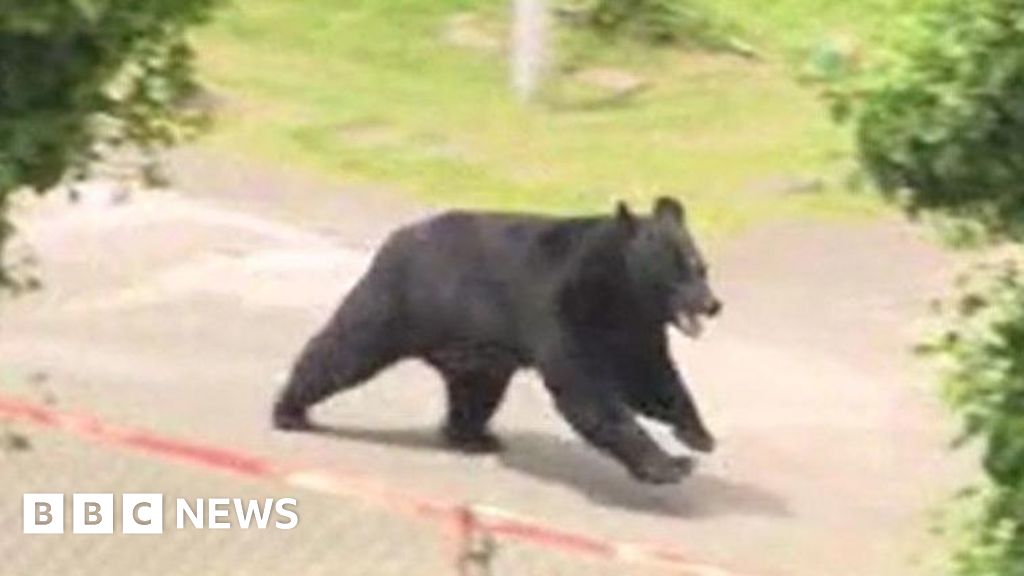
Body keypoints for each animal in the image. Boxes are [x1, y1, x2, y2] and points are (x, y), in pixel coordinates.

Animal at [273, 197, 722, 484]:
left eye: (701, 266)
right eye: (679, 269)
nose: (713, 304)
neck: (621, 290)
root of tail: (398, 236)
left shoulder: (635, 329)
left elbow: (651, 378)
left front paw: (698, 435)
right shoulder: (564, 308)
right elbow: (587, 390)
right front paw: (669, 466)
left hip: (475, 350)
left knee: (476, 393)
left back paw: (472, 437)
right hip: (398, 304)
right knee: (343, 350)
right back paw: (289, 411)